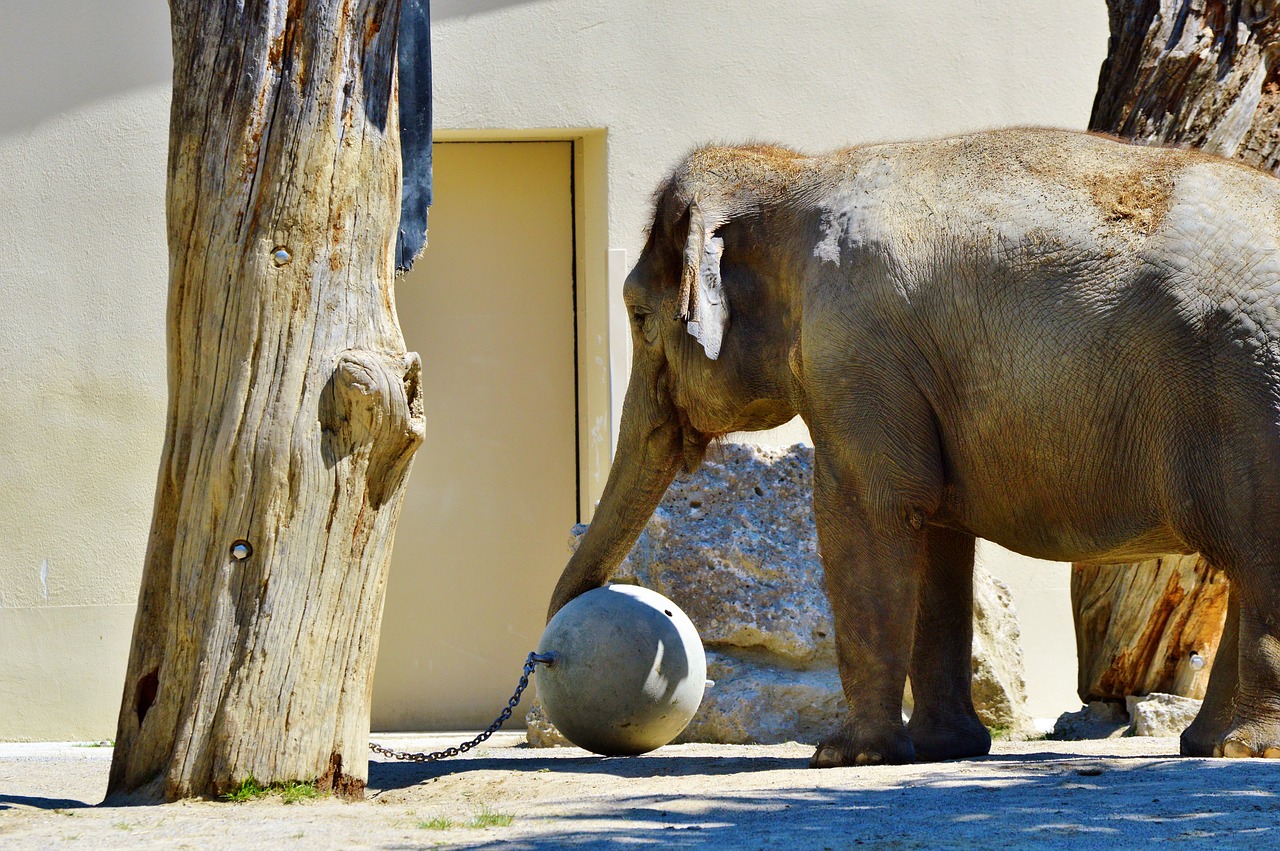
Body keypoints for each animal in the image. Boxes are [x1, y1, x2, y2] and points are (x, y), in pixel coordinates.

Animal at [547, 127, 1280, 767]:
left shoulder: (855, 348)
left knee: (1257, 556)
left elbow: (866, 511)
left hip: (1245, 390)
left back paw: (1243, 748)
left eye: (640, 318)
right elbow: (935, 532)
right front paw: (944, 748)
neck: (797, 173)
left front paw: (846, 756)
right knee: (1246, 567)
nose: (550, 654)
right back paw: (1208, 746)